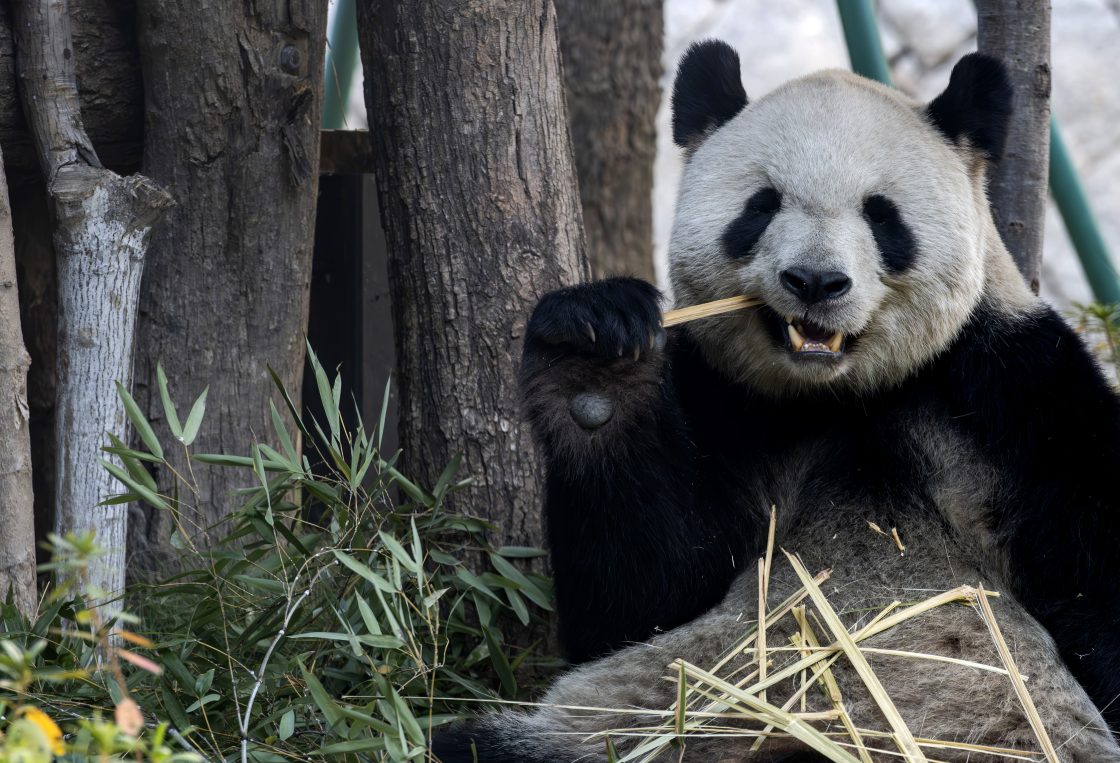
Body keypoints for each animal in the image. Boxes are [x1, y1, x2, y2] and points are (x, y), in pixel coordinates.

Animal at [434, 40, 1120, 762]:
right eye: (761, 206)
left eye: (882, 214)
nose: (815, 281)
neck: (839, 395)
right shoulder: (725, 403)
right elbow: (642, 596)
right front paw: (594, 359)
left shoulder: (1013, 398)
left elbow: (1094, 569)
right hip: (623, 729)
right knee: (484, 743)